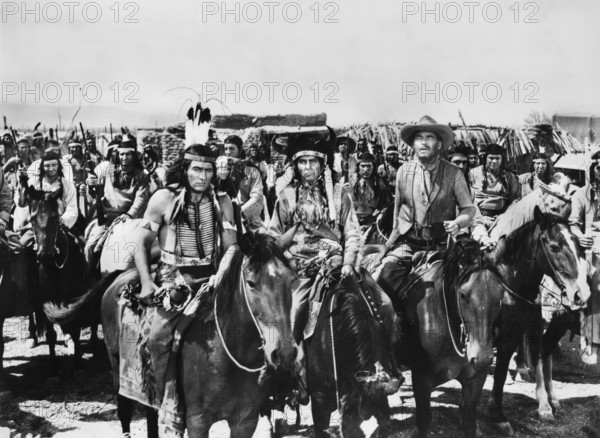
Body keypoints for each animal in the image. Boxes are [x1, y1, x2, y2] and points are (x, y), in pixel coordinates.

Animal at [101, 231, 302, 436]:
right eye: (251, 283)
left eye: (291, 280)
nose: (285, 352)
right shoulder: (198, 421)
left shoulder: (245, 420)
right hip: (117, 368)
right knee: (125, 412)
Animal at [392, 240, 512, 438]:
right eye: (463, 295)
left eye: (500, 297)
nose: (482, 358)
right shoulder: (421, 379)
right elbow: (424, 422)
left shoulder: (475, 379)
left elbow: (469, 423)